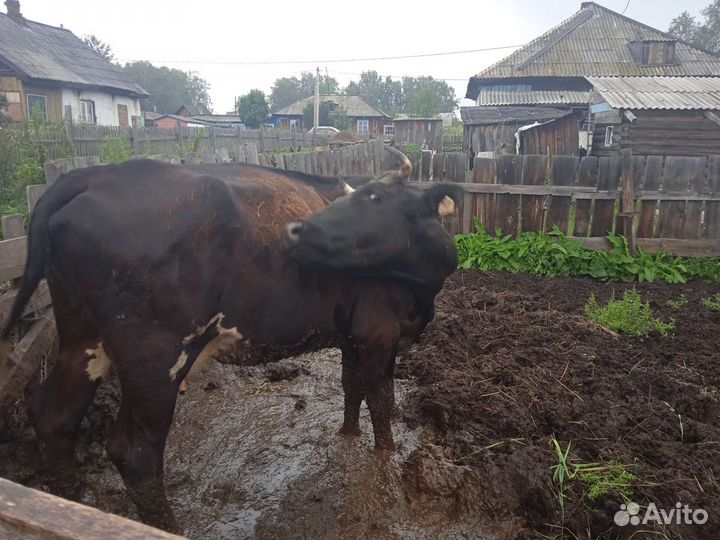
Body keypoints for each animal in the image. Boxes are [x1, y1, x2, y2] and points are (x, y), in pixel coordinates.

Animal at [0, 150, 459, 531]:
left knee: (55, 419)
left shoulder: (352, 334)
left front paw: (347, 437)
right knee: (135, 452)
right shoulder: (379, 333)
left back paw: (70, 506)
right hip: (154, 357)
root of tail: (97, 174)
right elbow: (382, 401)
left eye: (376, 197)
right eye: (364, 194)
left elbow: (352, 388)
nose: (296, 229)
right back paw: (165, 527)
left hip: (81, 339)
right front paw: (385, 455)